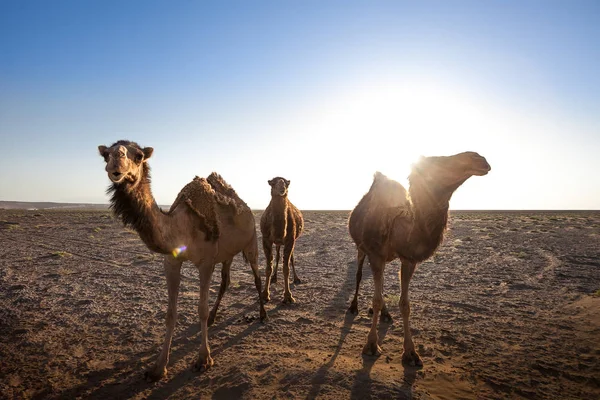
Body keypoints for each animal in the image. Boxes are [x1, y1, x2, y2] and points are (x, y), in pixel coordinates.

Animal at [98, 141, 268, 382]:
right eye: (105, 155)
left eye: (139, 156)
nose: (116, 165)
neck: (181, 226)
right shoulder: (171, 262)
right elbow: (170, 314)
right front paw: (158, 368)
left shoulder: (206, 262)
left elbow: (201, 309)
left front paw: (203, 359)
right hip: (227, 254)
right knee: (225, 281)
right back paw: (216, 317)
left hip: (251, 241)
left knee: (256, 277)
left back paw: (262, 314)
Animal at [346, 152, 492, 366]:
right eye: (438, 161)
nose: (479, 158)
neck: (399, 225)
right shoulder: (375, 254)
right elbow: (376, 299)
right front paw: (371, 345)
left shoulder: (408, 259)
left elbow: (404, 304)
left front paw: (411, 353)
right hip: (360, 248)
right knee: (358, 275)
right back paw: (354, 307)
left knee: (380, 285)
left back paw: (386, 315)